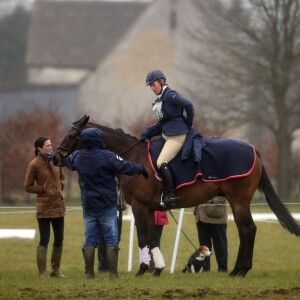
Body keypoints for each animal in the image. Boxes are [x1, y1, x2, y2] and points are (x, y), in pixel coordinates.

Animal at [54, 114, 300, 276]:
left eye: (72, 134)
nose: (56, 158)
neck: (133, 157)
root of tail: (253, 149)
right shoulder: (150, 209)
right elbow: (152, 238)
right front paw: (157, 270)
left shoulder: (139, 207)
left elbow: (143, 238)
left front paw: (142, 270)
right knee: (247, 231)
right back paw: (240, 269)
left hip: (238, 202)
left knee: (247, 230)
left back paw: (238, 270)